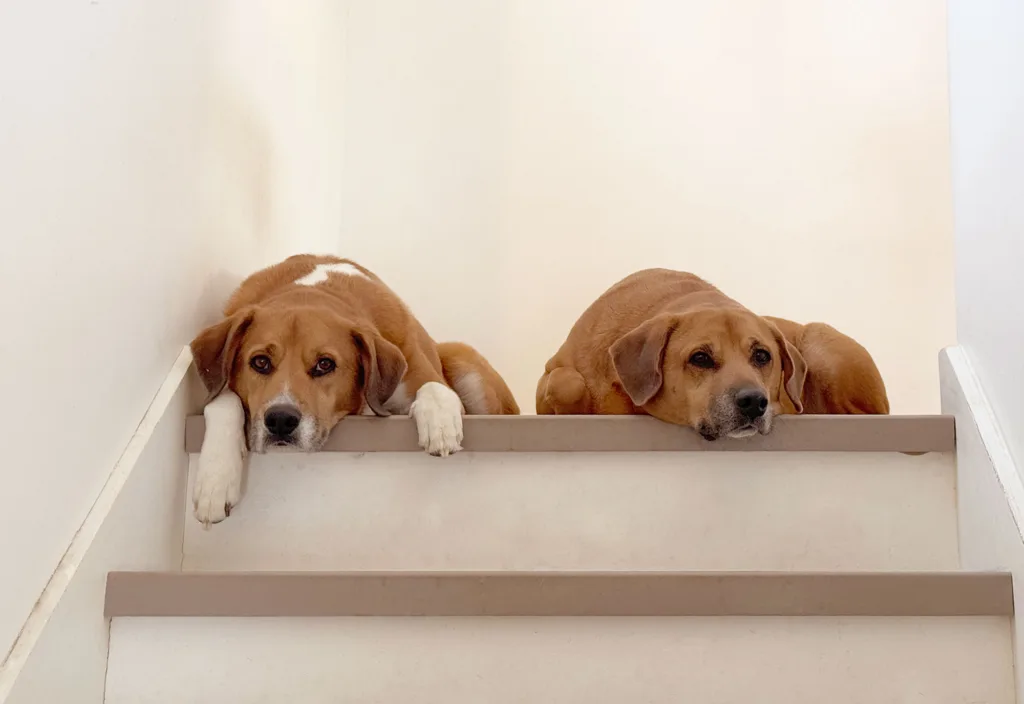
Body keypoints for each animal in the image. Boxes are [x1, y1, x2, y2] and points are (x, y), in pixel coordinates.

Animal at [190, 255, 520, 523]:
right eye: (260, 362)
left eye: (325, 364)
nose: (281, 420)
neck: (311, 291)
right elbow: (221, 401)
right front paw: (215, 481)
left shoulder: (421, 372)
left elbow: (435, 388)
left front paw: (439, 424)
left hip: (462, 358)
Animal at [536, 266, 888, 437]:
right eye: (700, 358)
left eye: (762, 356)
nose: (754, 402)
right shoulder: (550, 372)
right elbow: (567, 382)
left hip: (822, 343)